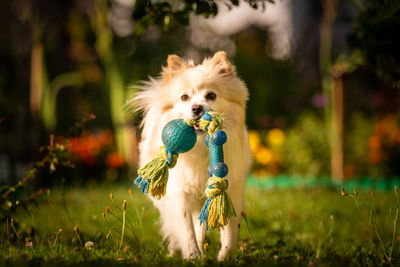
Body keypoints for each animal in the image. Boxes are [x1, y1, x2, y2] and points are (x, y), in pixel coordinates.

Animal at [134, 51, 253, 260]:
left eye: (211, 95)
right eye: (184, 97)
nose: (197, 108)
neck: (200, 147)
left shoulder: (233, 191)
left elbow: (230, 232)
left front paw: (224, 257)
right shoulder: (180, 194)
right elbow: (185, 229)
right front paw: (193, 257)